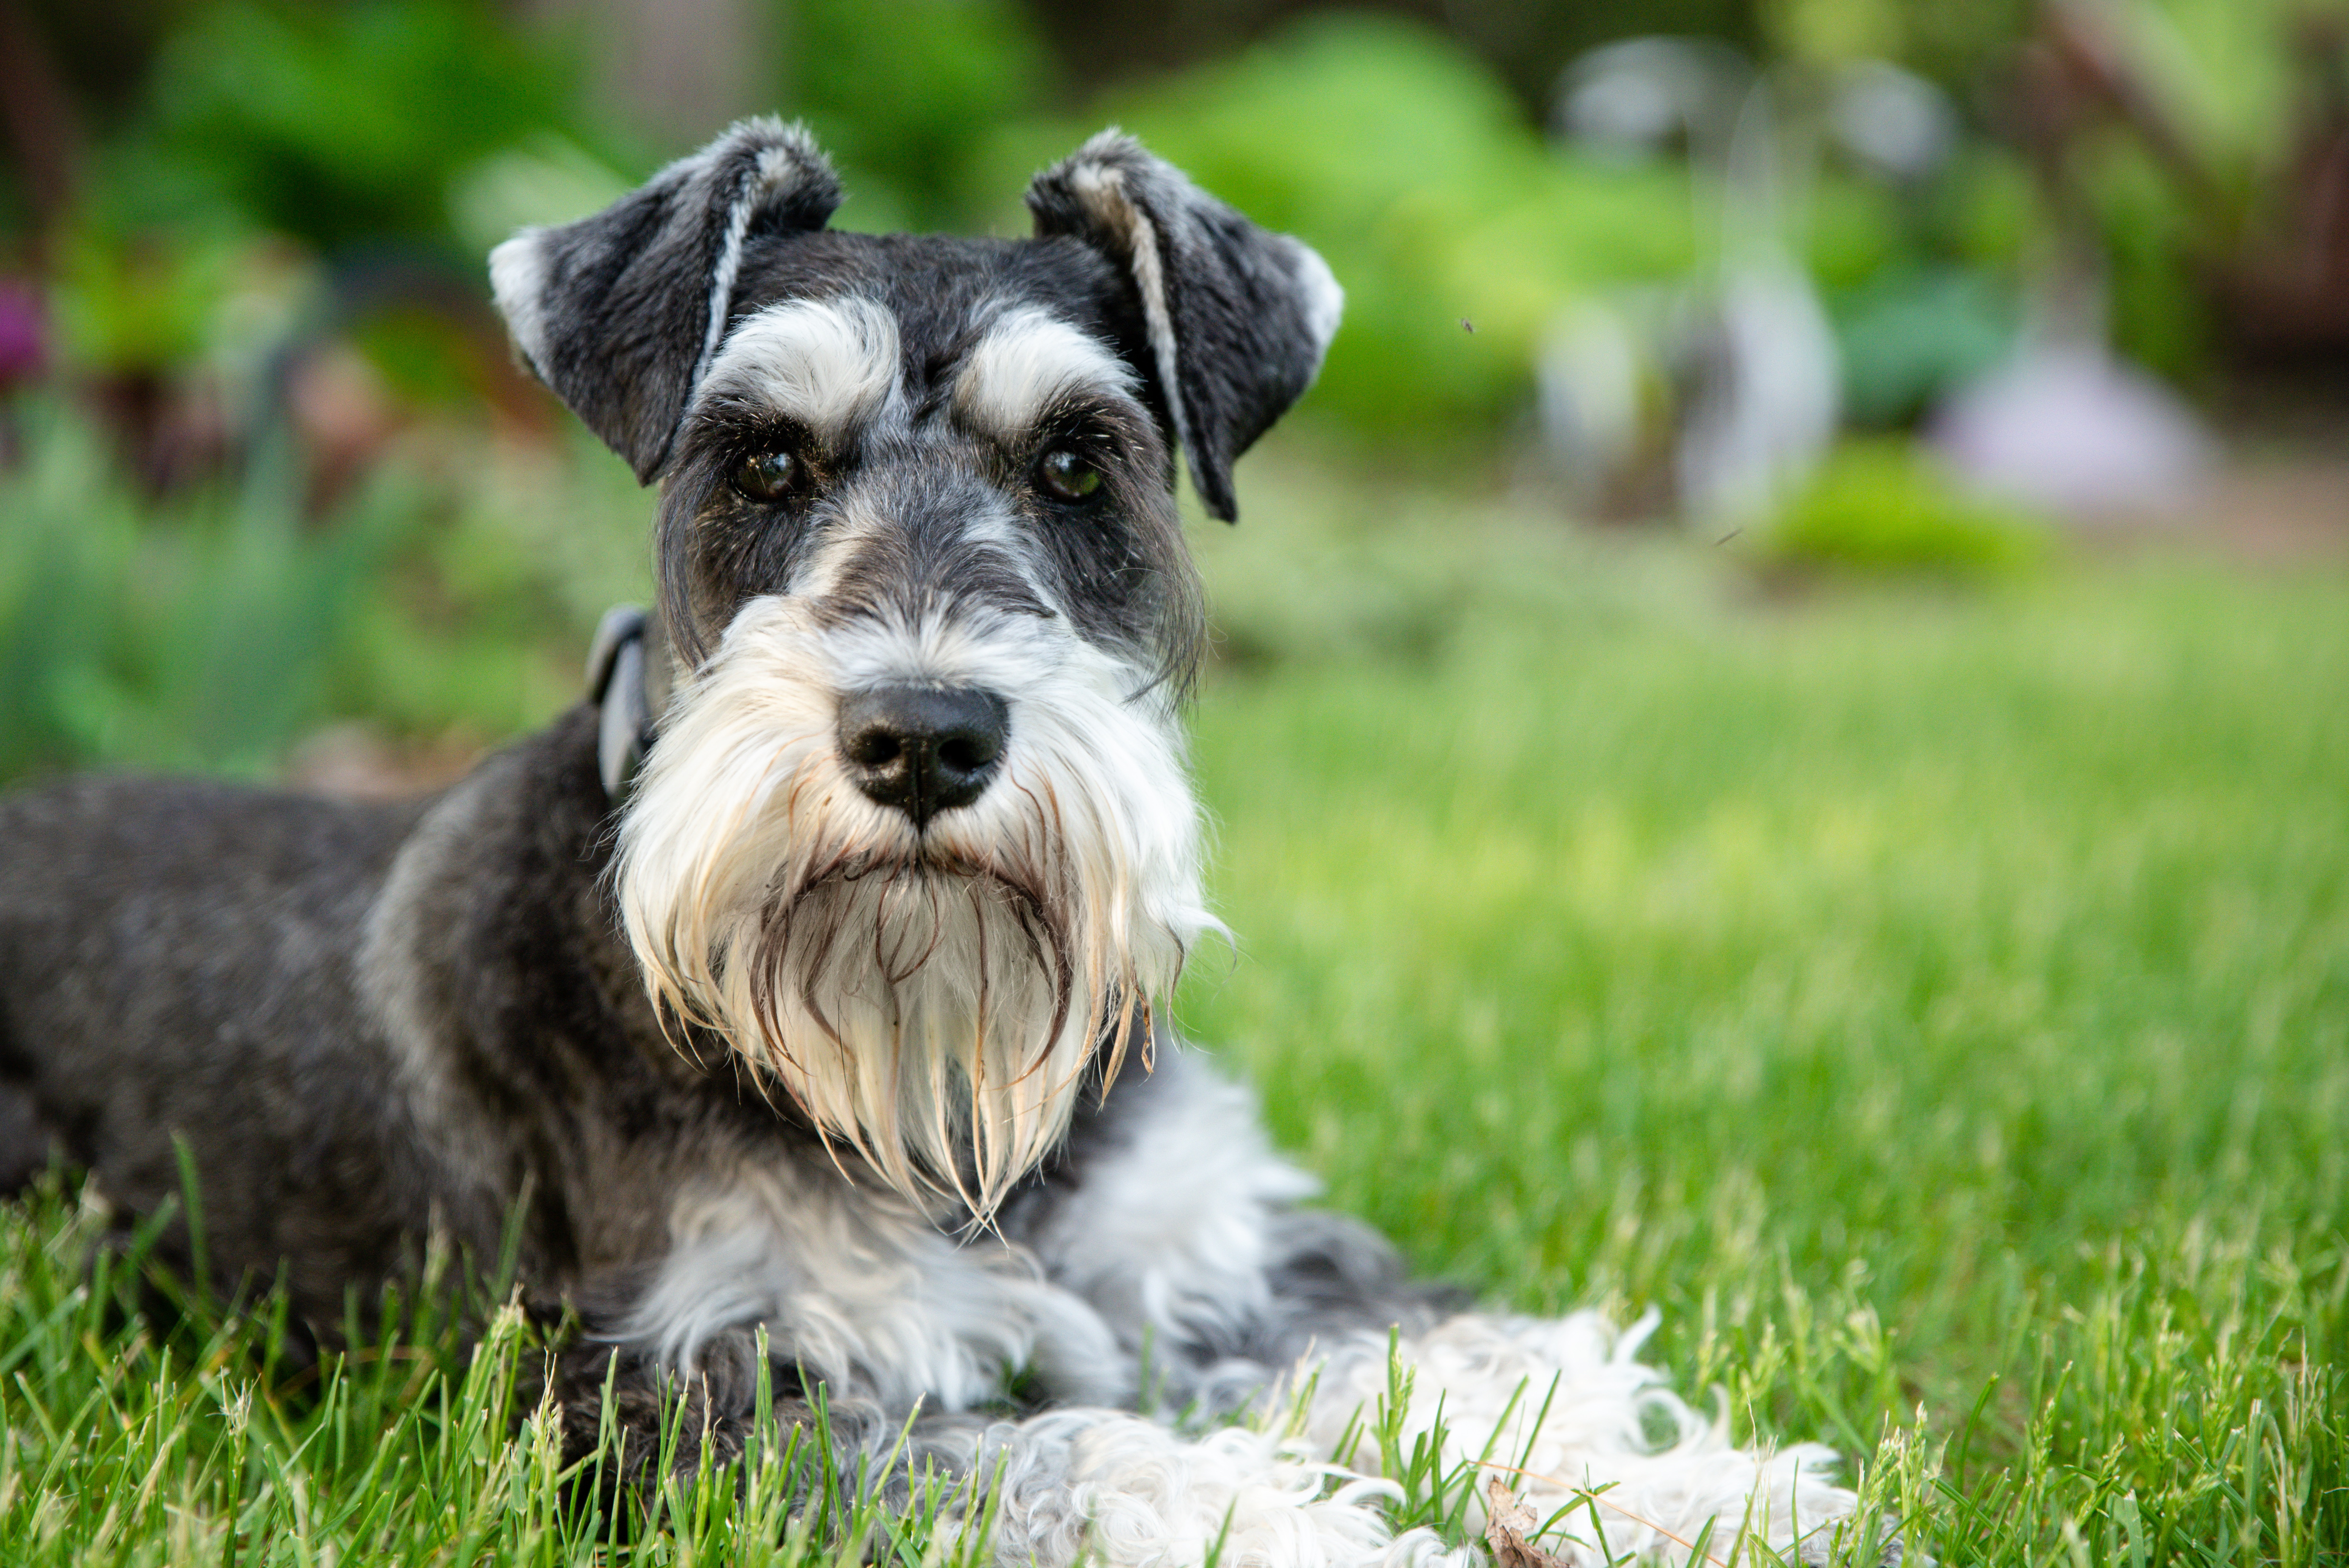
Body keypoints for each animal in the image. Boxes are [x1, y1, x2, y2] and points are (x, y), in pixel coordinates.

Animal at [0, 125, 1869, 1568]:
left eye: (1077, 460)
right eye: (762, 457)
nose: (922, 734)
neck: (931, 1083)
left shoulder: (1228, 1255)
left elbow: (1447, 1352)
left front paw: (1691, 1488)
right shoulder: (678, 1399)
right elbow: (1056, 1455)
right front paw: (1294, 1523)